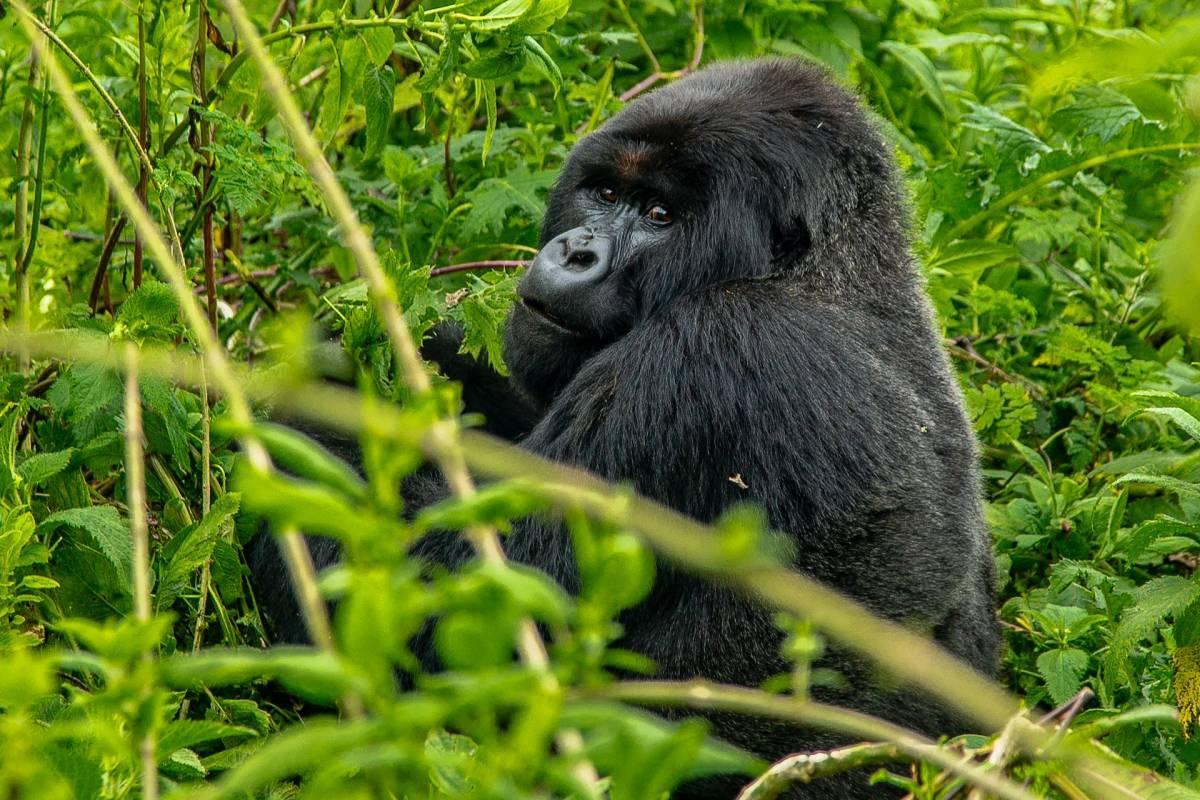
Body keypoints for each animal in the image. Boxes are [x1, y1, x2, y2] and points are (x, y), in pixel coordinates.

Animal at [248, 57, 998, 800]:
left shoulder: (706, 352)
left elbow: (453, 615)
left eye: (660, 215)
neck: (819, 270)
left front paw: (311, 403)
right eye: (605, 193)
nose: (575, 252)